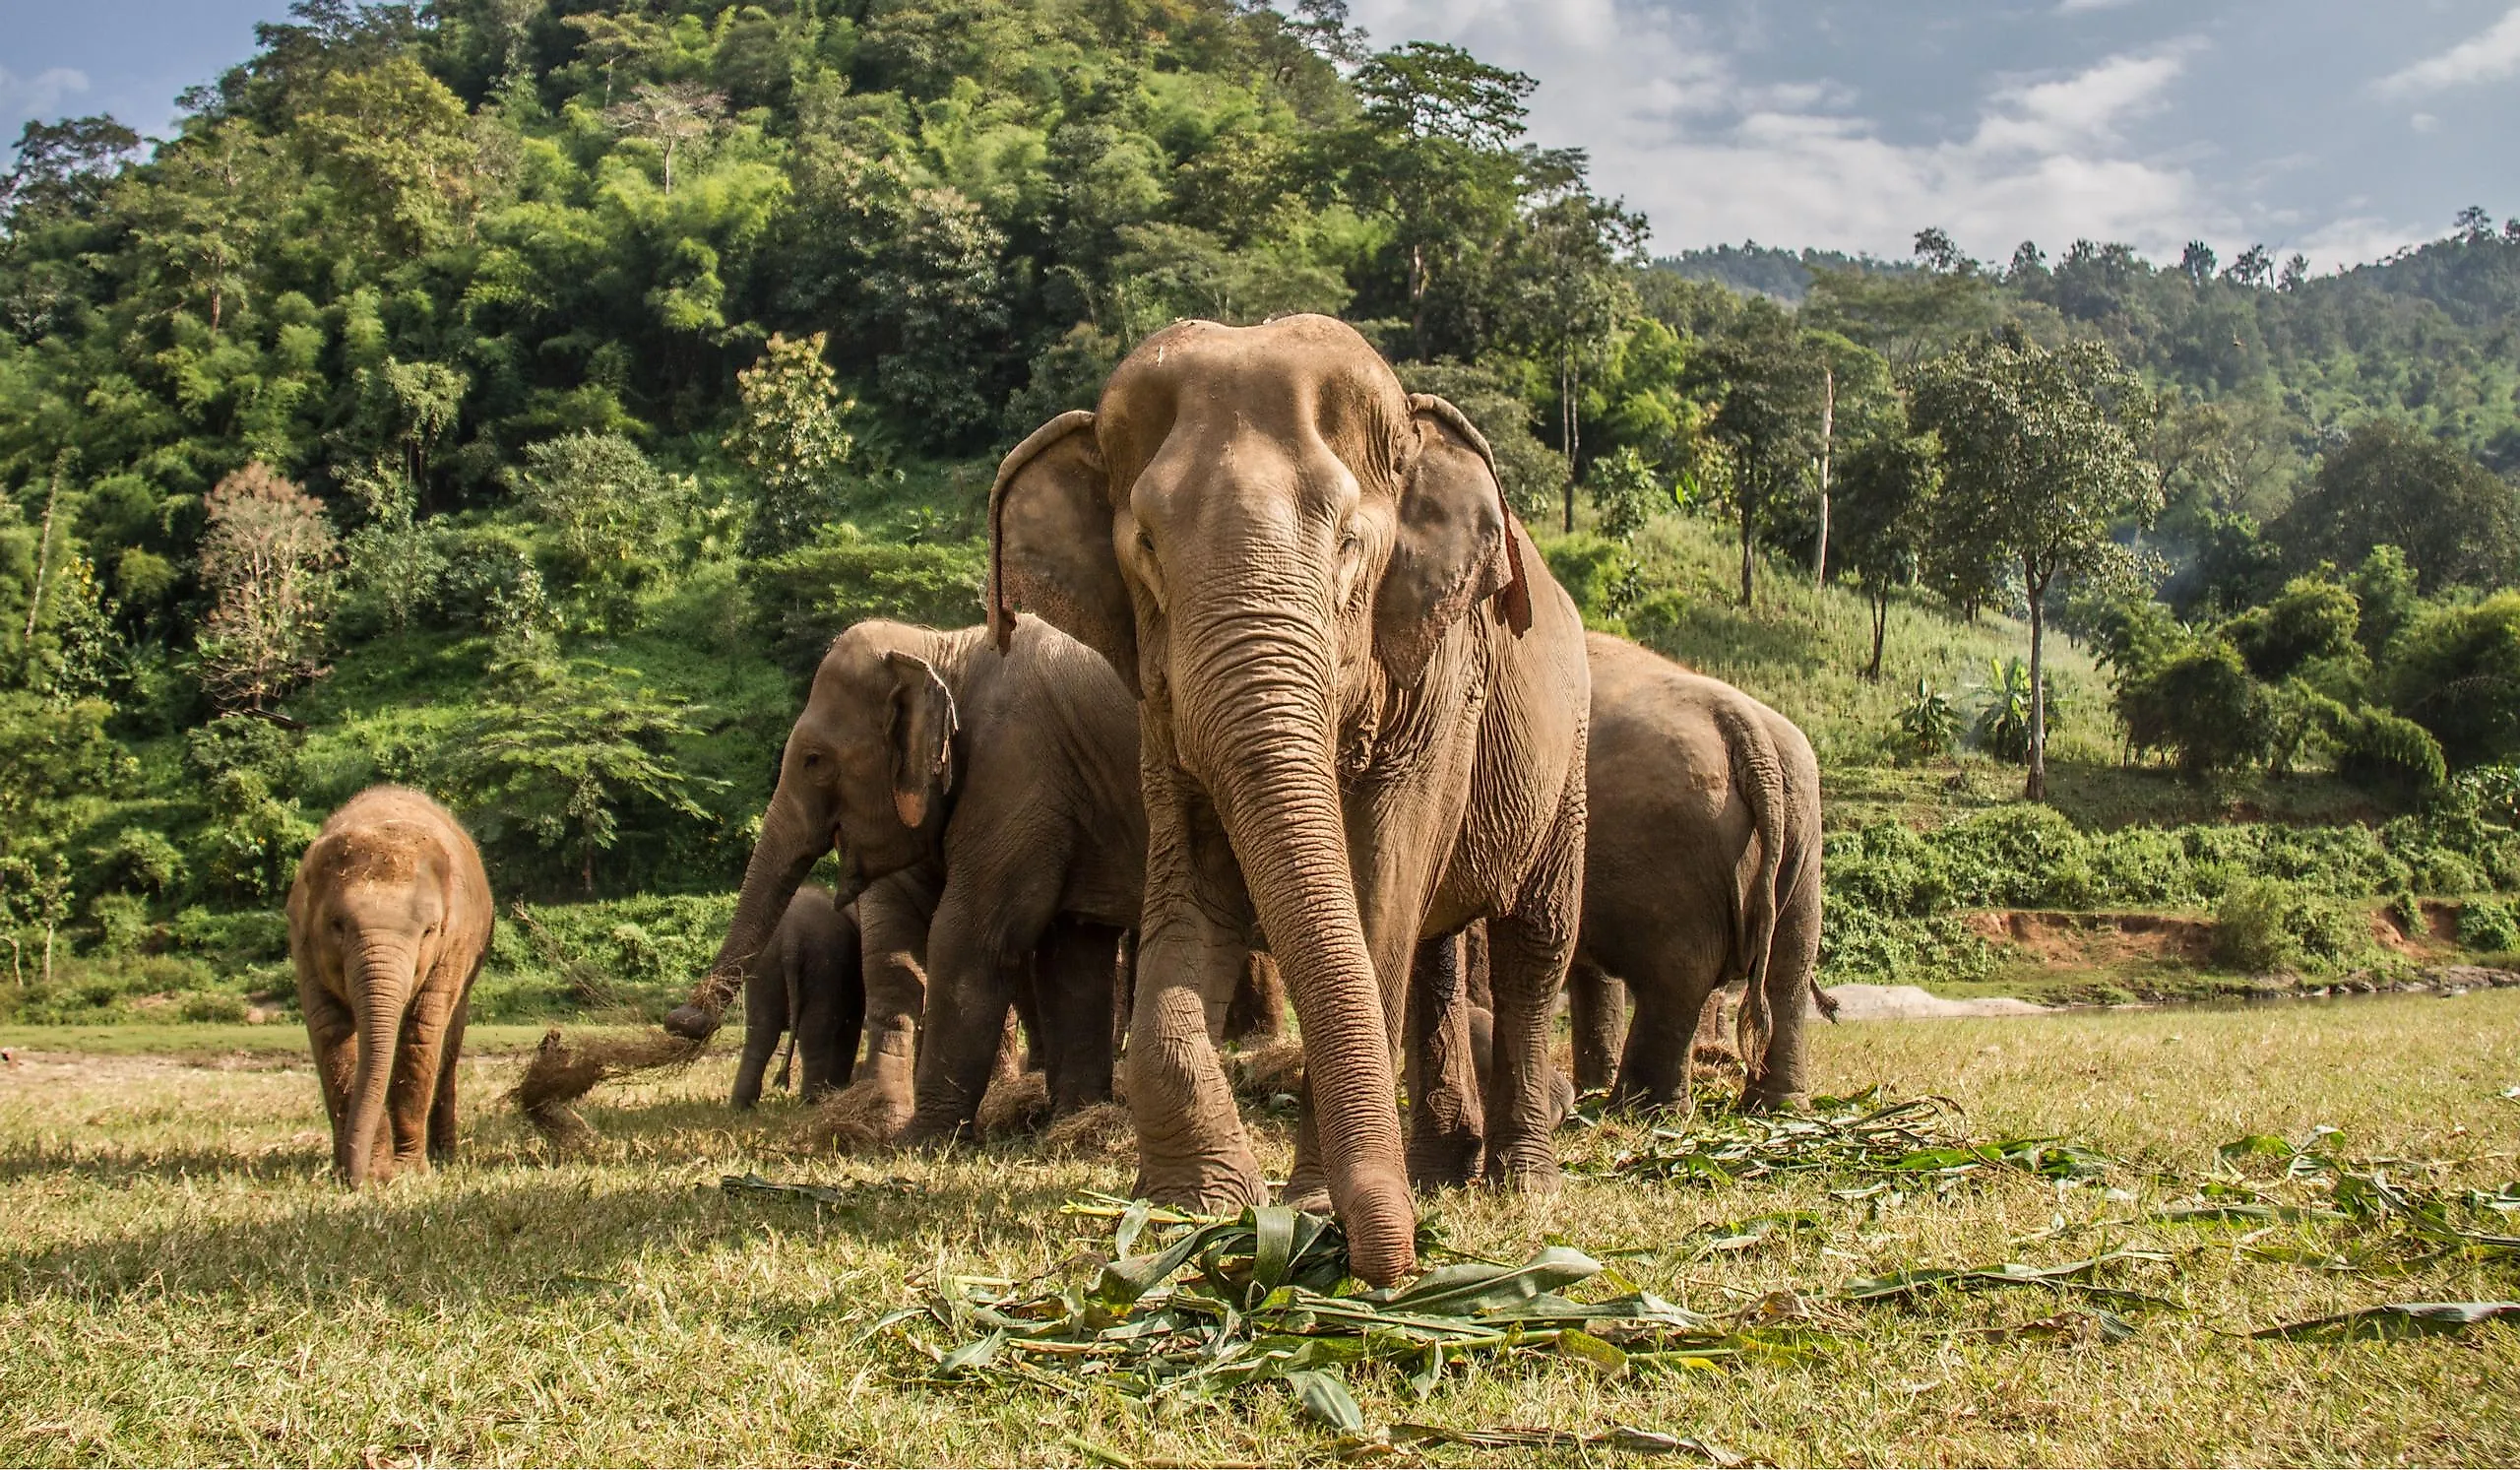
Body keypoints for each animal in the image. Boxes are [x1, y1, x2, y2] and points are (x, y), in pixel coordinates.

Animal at [288, 786, 493, 1189]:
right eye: (337, 926)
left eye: (429, 930)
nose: (354, 1179)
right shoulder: (303, 944)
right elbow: (331, 1033)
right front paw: (373, 1172)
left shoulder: (453, 947)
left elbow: (421, 1034)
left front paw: (408, 1171)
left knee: (448, 1043)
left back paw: (445, 1157)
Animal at [735, 887, 871, 1114]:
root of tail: (791, 939)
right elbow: (851, 1025)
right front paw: (839, 1090)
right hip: (824, 967)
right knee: (814, 1030)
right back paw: (813, 1100)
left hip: (765, 967)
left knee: (761, 1033)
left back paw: (742, 1105)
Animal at [992, 313, 1582, 1291]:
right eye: (1146, 546)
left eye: (1348, 542)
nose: (1391, 1265)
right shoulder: (1162, 710)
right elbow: (1193, 886)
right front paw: (1194, 1207)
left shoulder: (1437, 679)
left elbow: (1378, 890)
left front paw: (1303, 1206)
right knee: (1435, 951)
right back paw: (1439, 1172)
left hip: (1567, 758)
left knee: (1534, 944)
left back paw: (1522, 1184)